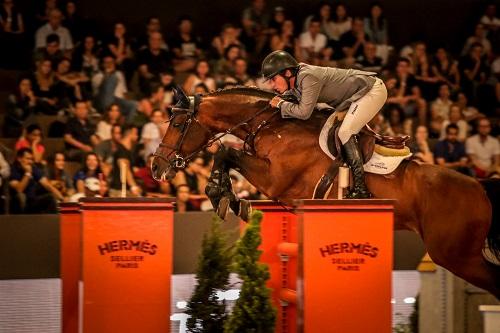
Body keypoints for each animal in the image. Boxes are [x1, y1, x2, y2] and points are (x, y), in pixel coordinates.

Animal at [151, 85, 500, 298]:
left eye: (178, 124)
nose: (156, 167)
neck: (274, 125)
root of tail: (479, 187)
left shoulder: (276, 179)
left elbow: (225, 152)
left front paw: (224, 197)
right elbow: (226, 155)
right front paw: (228, 197)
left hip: (454, 255)